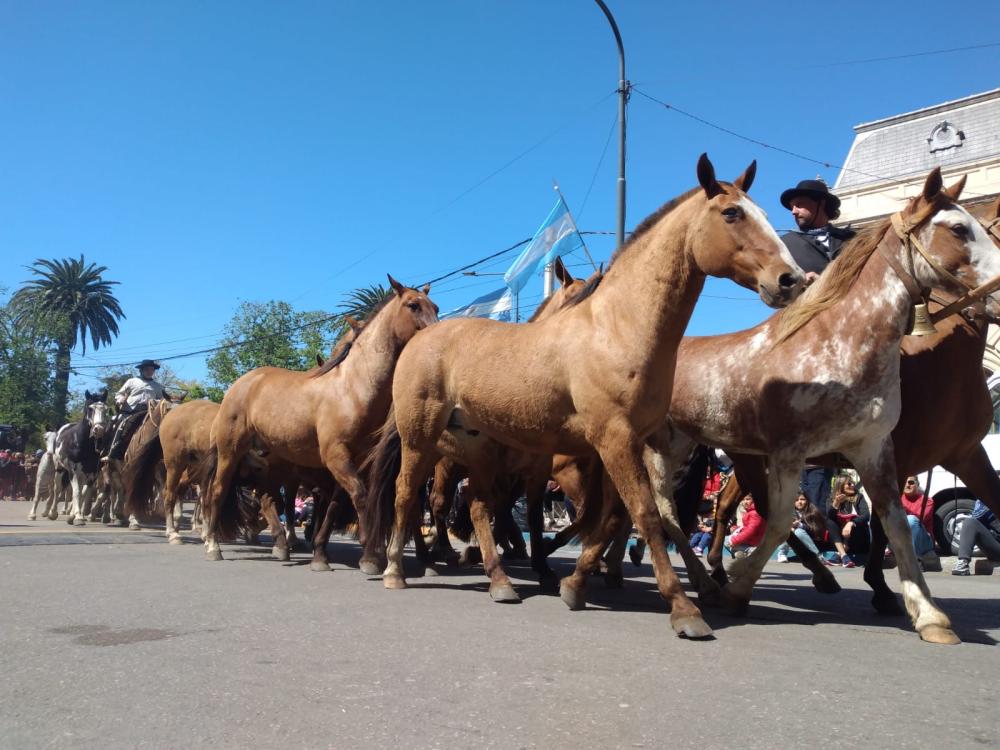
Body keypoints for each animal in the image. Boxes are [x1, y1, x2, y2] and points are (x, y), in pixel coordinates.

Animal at [200, 280, 438, 568]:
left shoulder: (354, 462)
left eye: (435, 307)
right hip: (230, 451)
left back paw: (282, 546)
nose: (438, 334)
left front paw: (322, 555)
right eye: (413, 305)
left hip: (273, 463)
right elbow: (360, 496)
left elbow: (336, 505)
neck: (352, 389)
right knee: (217, 491)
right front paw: (371, 553)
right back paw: (213, 546)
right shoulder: (335, 455)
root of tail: (242, 383)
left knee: (268, 499)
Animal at [372, 154, 800, 640]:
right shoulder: (613, 439)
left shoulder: (634, 444)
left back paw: (500, 580)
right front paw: (683, 609)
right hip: (420, 438)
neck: (616, 328)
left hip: (477, 448)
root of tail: (421, 339)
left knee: (478, 505)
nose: (790, 280)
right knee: (408, 495)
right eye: (731, 214)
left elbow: (613, 516)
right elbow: (644, 514)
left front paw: (574, 583)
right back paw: (397, 570)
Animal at [652, 170, 1000, 648]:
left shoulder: (876, 450)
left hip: (695, 446)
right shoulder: (789, 452)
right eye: (959, 229)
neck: (836, 345)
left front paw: (929, 614)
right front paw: (740, 586)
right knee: (661, 506)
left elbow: (894, 526)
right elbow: (781, 522)